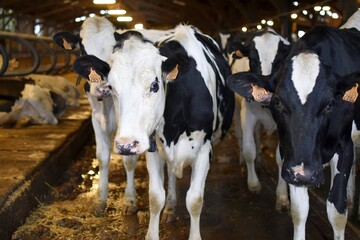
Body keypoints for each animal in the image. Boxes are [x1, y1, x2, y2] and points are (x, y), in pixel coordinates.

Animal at [74, 23, 236, 238]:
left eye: (154, 85)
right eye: (112, 87)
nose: (126, 144)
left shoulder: (204, 150)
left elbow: (194, 200)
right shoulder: (152, 148)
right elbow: (155, 197)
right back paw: (170, 207)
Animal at [228, 24, 360, 240]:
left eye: (330, 103)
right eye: (278, 102)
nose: (304, 175)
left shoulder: (344, 146)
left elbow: (337, 212)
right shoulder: (290, 154)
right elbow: (299, 210)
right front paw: (257, 185)